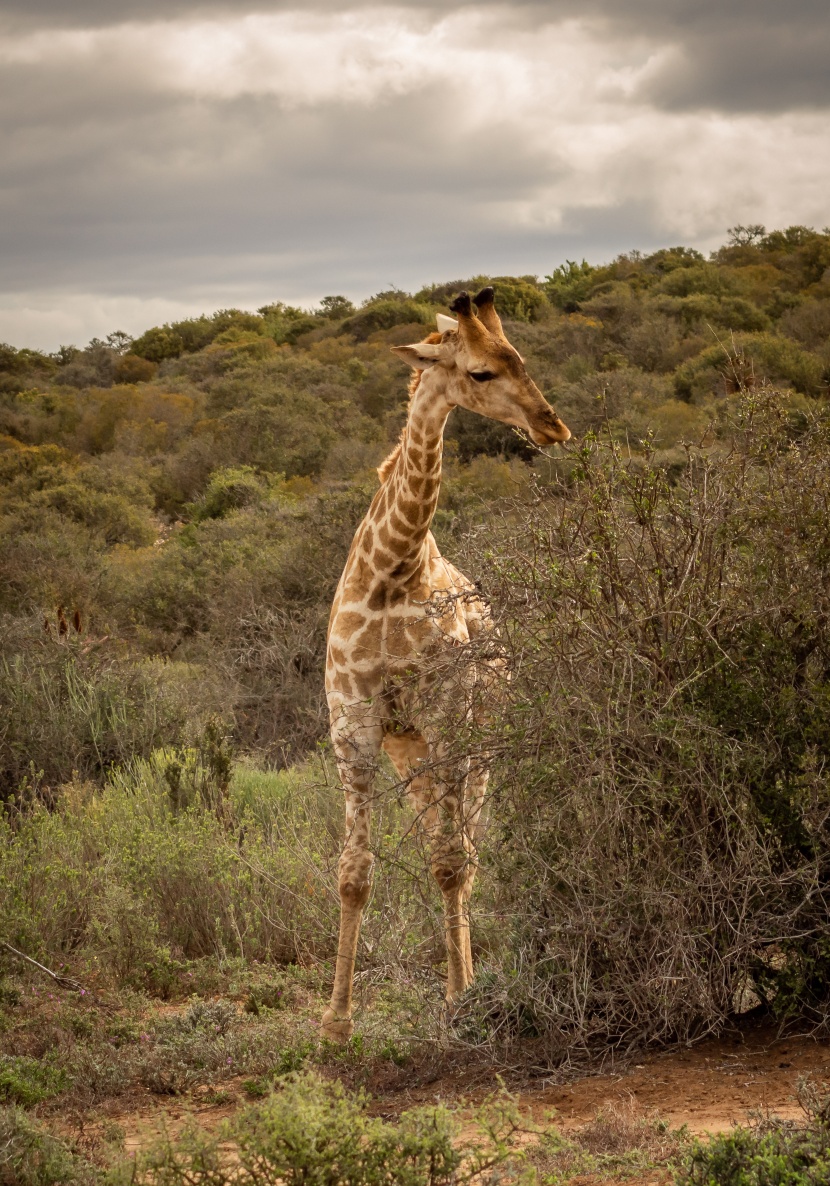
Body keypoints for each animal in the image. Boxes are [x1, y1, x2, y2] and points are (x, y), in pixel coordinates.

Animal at [322, 287, 571, 1038]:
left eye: (520, 358)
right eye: (481, 372)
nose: (553, 427)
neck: (392, 570)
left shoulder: (448, 715)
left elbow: (451, 864)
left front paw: (460, 999)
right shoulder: (354, 722)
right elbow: (355, 873)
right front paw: (335, 1024)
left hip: (476, 745)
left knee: (466, 851)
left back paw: (471, 981)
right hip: (412, 749)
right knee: (443, 839)